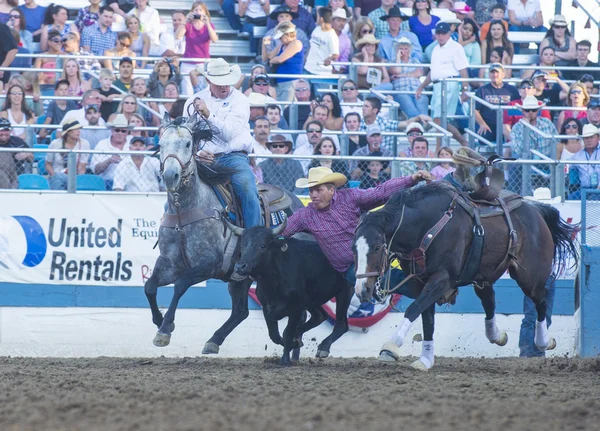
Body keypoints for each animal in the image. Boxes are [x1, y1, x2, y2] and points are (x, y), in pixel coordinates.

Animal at [145, 114, 302, 352]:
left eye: (188, 144)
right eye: (161, 144)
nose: (171, 175)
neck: (184, 211)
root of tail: (297, 203)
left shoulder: (210, 264)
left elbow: (180, 285)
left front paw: (165, 328)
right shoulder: (169, 264)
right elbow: (149, 286)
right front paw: (159, 320)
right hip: (239, 279)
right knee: (241, 311)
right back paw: (213, 341)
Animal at [354, 181, 580, 368]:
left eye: (376, 247)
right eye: (353, 248)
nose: (362, 290)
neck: (426, 225)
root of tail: (536, 210)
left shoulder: (442, 279)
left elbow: (413, 309)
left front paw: (391, 345)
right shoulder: (421, 282)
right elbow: (426, 319)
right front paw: (425, 359)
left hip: (530, 278)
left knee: (541, 302)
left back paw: (543, 341)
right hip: (484, 275)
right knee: (489, 301)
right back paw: (497, 335)